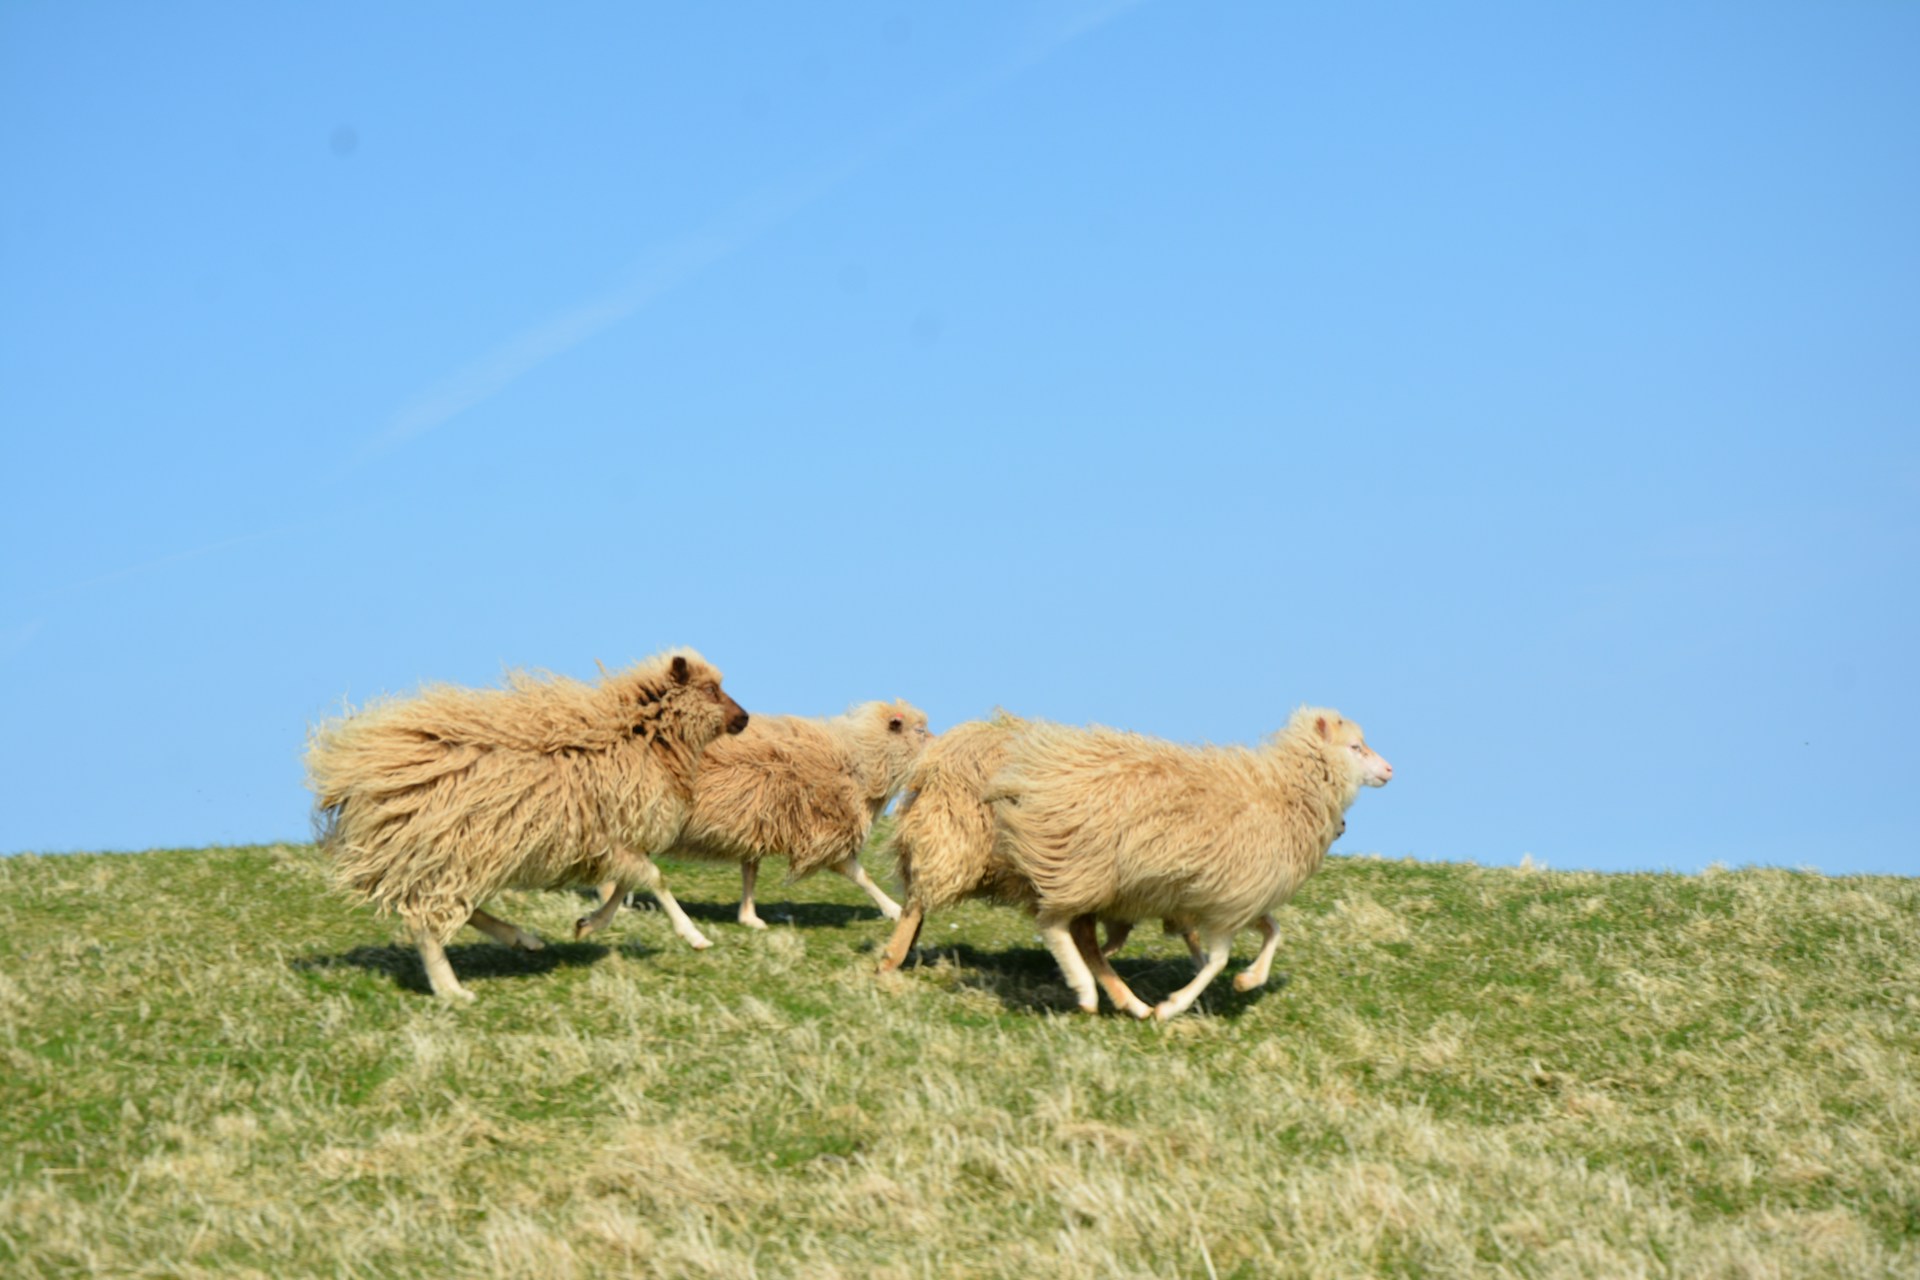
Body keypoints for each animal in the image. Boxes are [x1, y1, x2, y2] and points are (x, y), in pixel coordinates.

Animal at [304, 650, 749, 1001]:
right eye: (711, 690)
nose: (744, 718)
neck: (636, 735)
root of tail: (352, 774)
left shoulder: (609, 838)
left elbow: (630, 882)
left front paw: (589, 924)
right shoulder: (611, 834)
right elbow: (655, 878)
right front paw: (695, 937)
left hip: (452, 856)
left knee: (456, 910)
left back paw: (523, 940)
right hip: (445, 851)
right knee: (425, 922)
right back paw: (451, 990)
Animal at [579, 700, 932, 936]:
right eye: (920, 730)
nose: (939, 744)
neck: (863, 761)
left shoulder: (757, 823)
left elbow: (751, 870)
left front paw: (749, 916)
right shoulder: (824, 832)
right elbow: (860, 875)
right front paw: (894, 909)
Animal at [985, 707, 1392, 1020]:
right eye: (1356, 747)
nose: (1390, 771)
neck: (1283, 792)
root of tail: (1042, 766)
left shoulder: (1235, 899)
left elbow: (1273, 931)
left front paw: (1248, 980)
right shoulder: (1229, 901)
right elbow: (1219, 961)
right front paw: (1174, 1005)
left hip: (1089, 878)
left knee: (1076, 934)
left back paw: (1118, 997)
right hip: (1083, 869)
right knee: (1053, 925)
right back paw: (1089, 992)